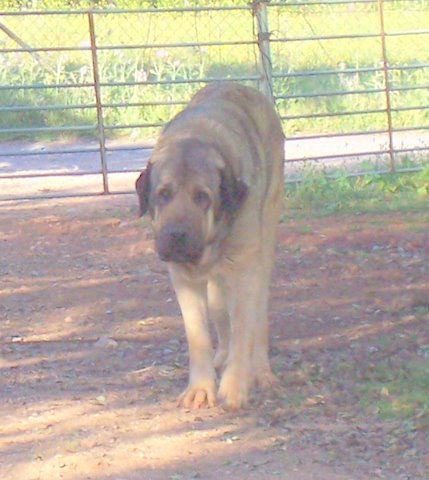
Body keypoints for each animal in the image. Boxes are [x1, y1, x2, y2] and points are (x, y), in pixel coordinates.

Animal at [135, 81, 284, 408]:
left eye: (202, 196)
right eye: (163, 194)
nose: (176, 235)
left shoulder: (246, 272)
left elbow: (243, 327)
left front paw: (235, 387)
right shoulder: (184, 280)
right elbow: (198, 336)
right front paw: (201, 388)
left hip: (266, 242)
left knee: (258, 318)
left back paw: (260, 371)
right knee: (220, 314)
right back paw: (223, 357)